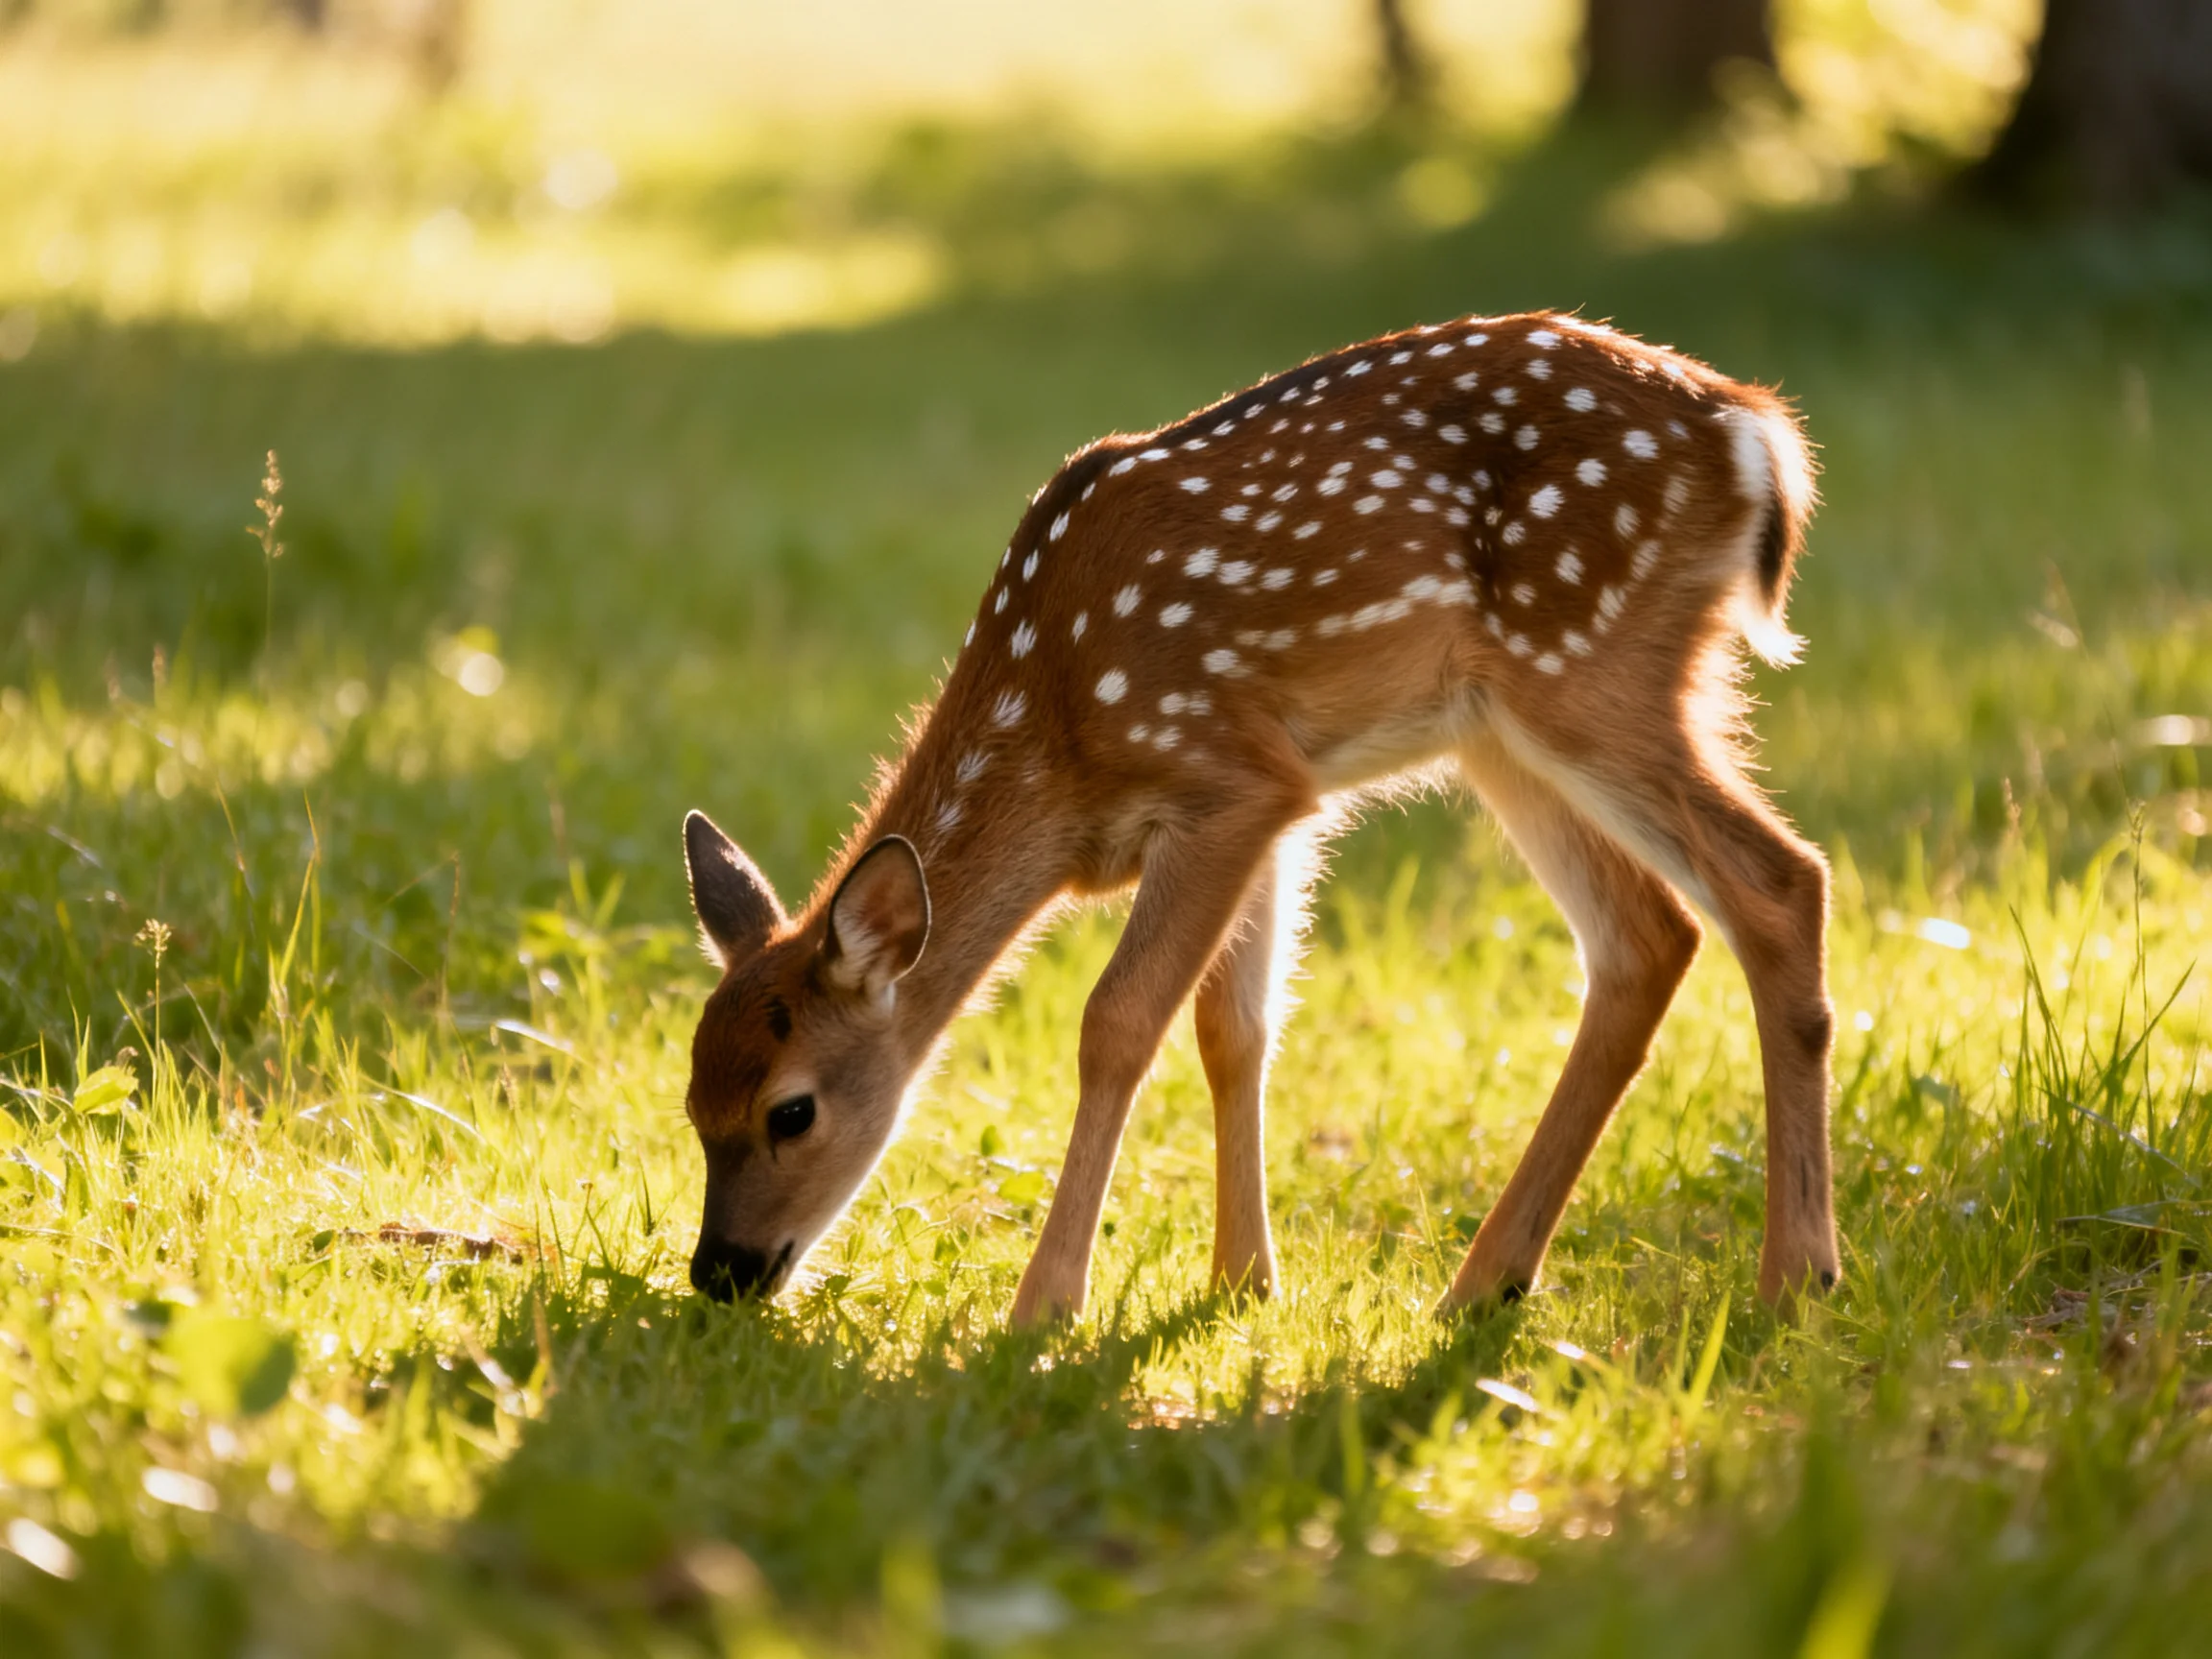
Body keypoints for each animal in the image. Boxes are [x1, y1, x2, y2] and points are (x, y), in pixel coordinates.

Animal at [680, 310, 1837, 1327]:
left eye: (792, 1110)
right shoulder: (1279, 799)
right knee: (1648, 935)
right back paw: (1486, 1284)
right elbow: (1233, 1027)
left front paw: (1045, 1306)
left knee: (1780, 880)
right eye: (692, 1107)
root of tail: (1757, 436)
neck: (1054, 731)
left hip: (1590, 660)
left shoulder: (1223, 777)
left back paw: (1796, 1279)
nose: (720, 1272)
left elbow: (1118, 1021)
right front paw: (1243, 1282)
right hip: (1500, 730)